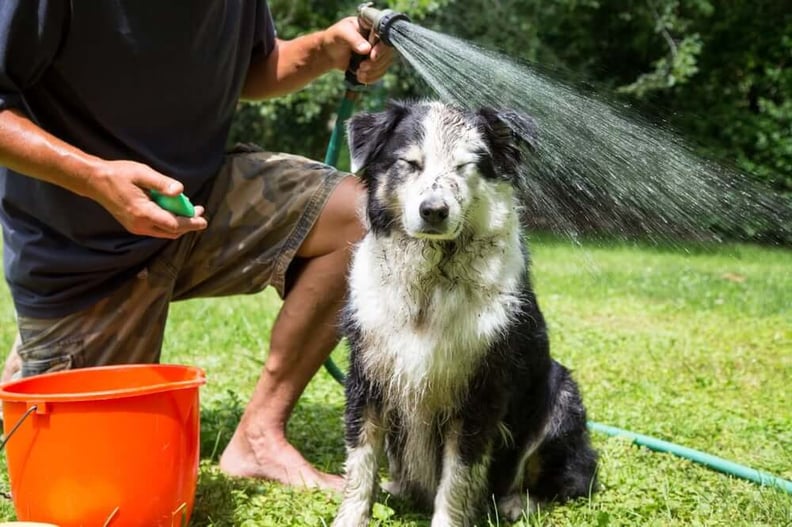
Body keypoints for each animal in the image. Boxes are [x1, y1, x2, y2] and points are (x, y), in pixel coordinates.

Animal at [332, 101, 596, 524]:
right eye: (410, 163)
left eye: (465, 166)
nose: (433, 211)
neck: (431, 280)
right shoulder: (367, 376)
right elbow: (360, 461)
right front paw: (351, 516)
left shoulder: (478, 392)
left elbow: (457, 477)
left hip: (562, 395)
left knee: (573, 480)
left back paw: (519, 502)